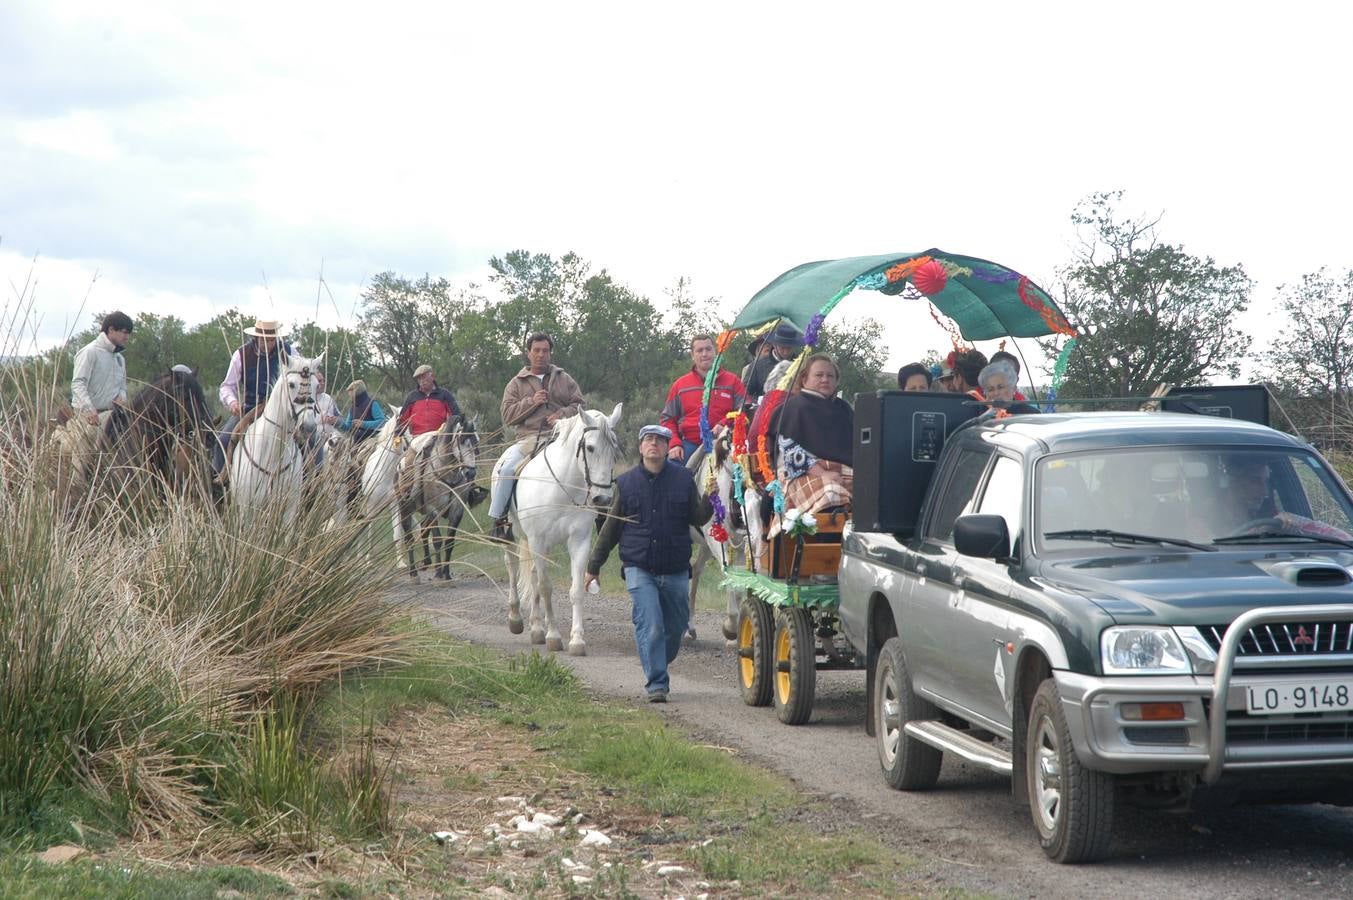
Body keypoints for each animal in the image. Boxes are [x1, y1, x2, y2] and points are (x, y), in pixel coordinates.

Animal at [230, 351, 322, 516]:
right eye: (291, 384)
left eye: (317, 385)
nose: (308, 427)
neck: (272, 455)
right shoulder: (247, 509)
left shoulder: (290, 509)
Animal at [497, 406, 622, 652]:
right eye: (590, 447)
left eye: (614, 449)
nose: (602, 498)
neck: (562, 487)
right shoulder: (537, 539)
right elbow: (546, 587)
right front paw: (554, 637)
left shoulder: (578, 541)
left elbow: (576, 590)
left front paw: (577, 639)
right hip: (513, 536)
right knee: (513, 566)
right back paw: (516, 619)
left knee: (533, 575)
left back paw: (537, 628)